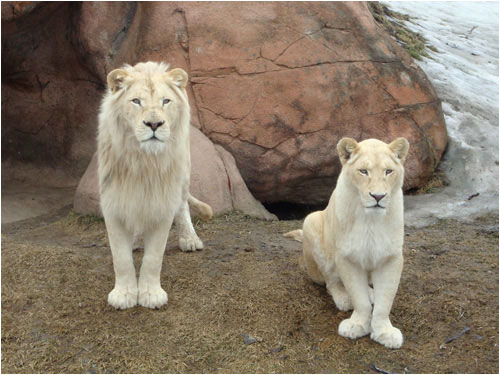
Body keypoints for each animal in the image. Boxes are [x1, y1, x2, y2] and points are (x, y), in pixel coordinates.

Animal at [98, 61, 212, 308]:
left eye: (165, 101)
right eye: (136, 101)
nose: (154, 124)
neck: (144, 161)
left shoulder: (163, 202)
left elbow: (153, 257)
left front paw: (151, 295)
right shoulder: (113, 200)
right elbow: (120, 257)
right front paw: (123, 295)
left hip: (183, 173)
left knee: (183, 206)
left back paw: (189, 239)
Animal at [286, 138, 410, 350]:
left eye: (388, 171)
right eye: (363, 171)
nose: (378, 197)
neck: (370, 220)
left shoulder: (391, 257)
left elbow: (385, 300)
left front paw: (384, 332)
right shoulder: (347, 257)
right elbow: (358, 297)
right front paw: (357, 325)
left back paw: (371, 292)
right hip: (311, 221)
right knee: (330, 283)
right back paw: (343, 298)